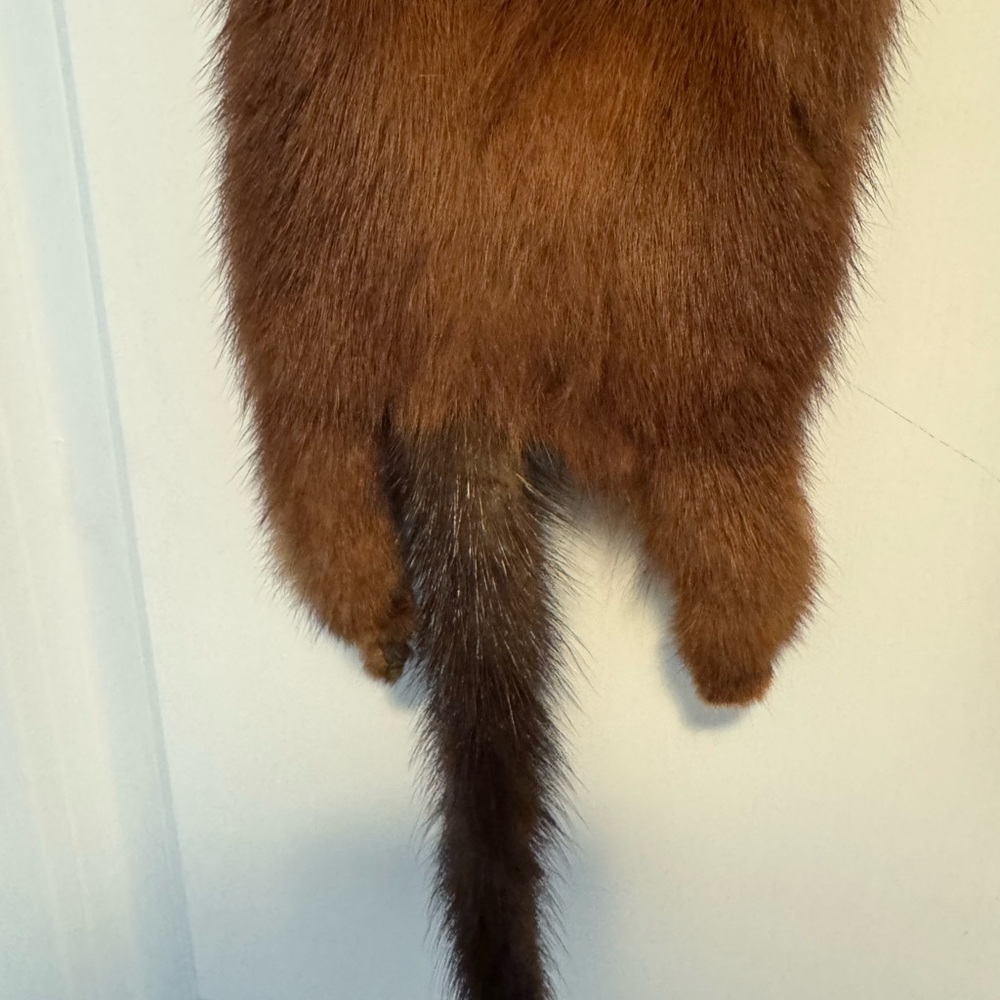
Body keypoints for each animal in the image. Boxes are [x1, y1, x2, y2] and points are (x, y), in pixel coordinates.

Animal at [212, 2, 902, 997]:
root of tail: (464, 363)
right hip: (726, 371)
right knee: (742, 539)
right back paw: (736, 668)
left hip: (294, 321)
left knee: (315, 493)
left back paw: (378, 628)